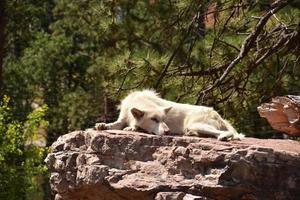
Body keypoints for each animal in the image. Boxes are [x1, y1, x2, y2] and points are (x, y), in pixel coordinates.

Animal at [95, 90, 245, 140]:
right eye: (154, 119)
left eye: (163, 119)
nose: (168, 132)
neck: (138, 100)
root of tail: (217, 114)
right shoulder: (122, 118)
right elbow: (115, 124)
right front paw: (102, 125)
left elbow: (133, 126)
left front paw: (133, 128)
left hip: (194, 124)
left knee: (226, 133)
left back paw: (224, 137)